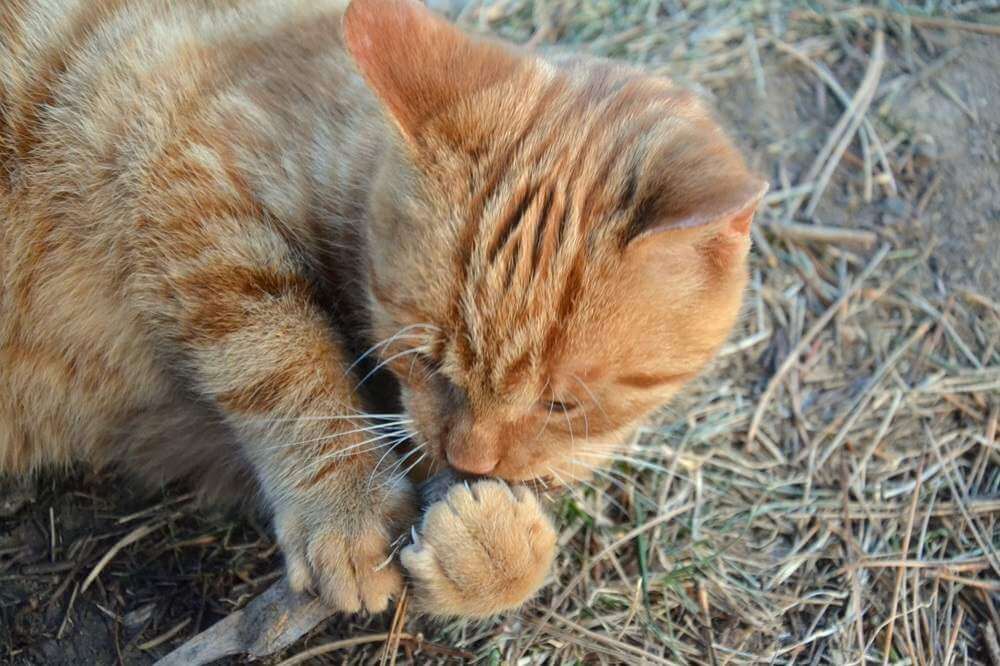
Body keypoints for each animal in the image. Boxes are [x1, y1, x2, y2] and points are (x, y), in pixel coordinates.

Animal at [0, 0, 764, 616]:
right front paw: (351, 510)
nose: (471, 457)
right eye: (424, 358)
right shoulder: (194, 184)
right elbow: (287, 363)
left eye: (561, 405)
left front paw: (488, 550)